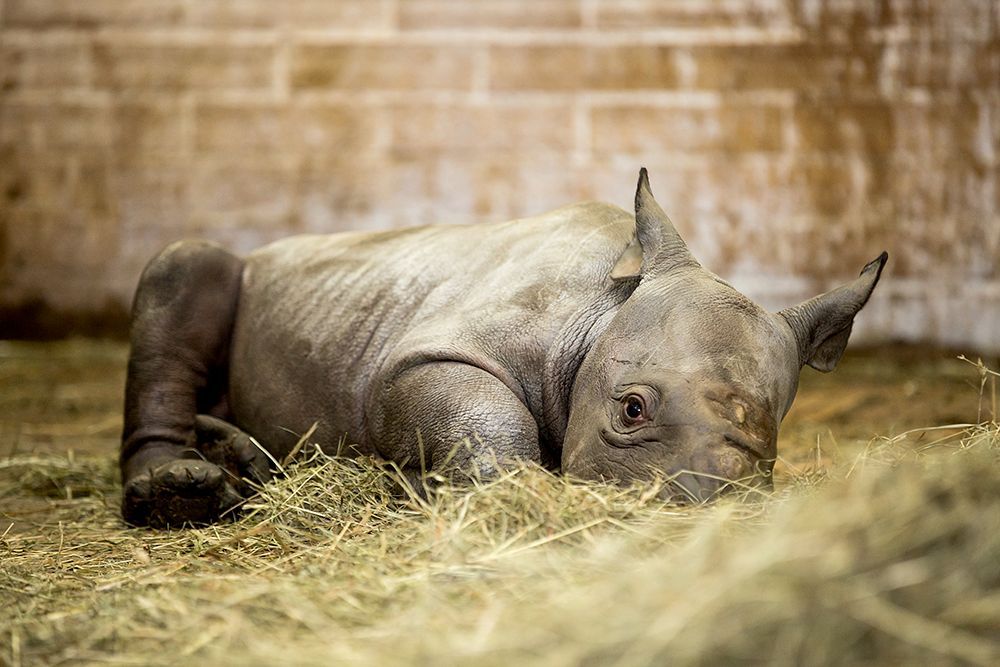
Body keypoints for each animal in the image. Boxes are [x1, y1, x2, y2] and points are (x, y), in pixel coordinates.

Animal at [121, 170, 888, 528]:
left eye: (770, 457)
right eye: (631, 410)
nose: (692, 508)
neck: (603, 311)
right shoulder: (420, 358)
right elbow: (486, 415)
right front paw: (445, 493)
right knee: (182, 268)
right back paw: (178, 491)